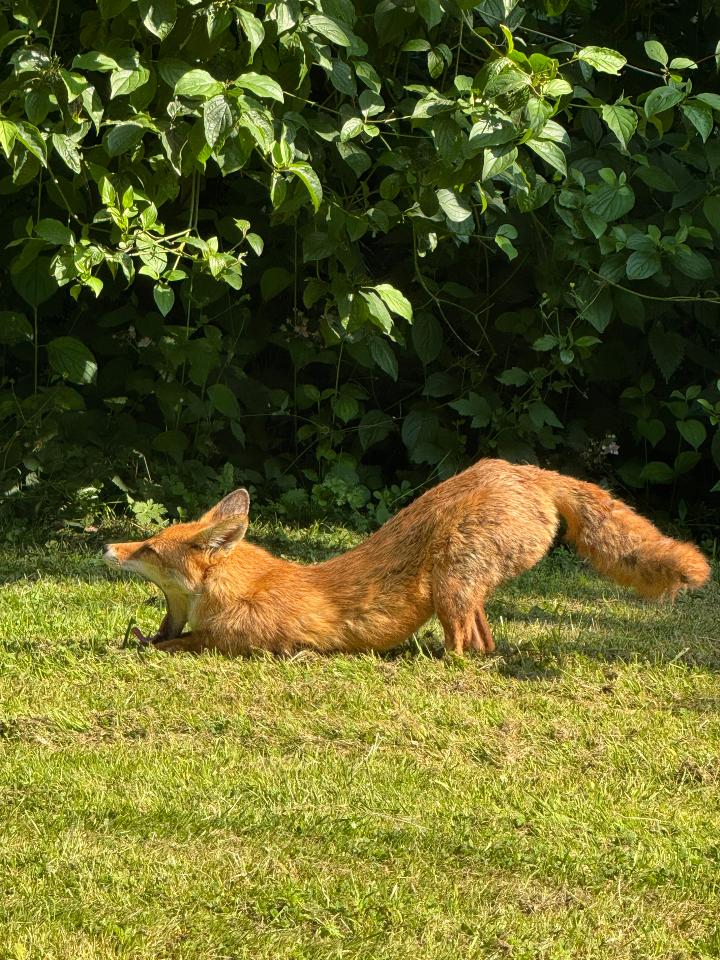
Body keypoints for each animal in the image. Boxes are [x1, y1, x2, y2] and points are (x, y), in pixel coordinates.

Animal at [102, 458, 711, 657]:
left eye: (149, 547)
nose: (107, 547)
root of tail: (521, 469)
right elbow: (164, 636)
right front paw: (131, 640)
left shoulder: (243, 641)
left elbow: (178, 644)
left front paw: (137, 648)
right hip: (463, 590)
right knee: (486, 643)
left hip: (452, 581)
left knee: (465, 650)